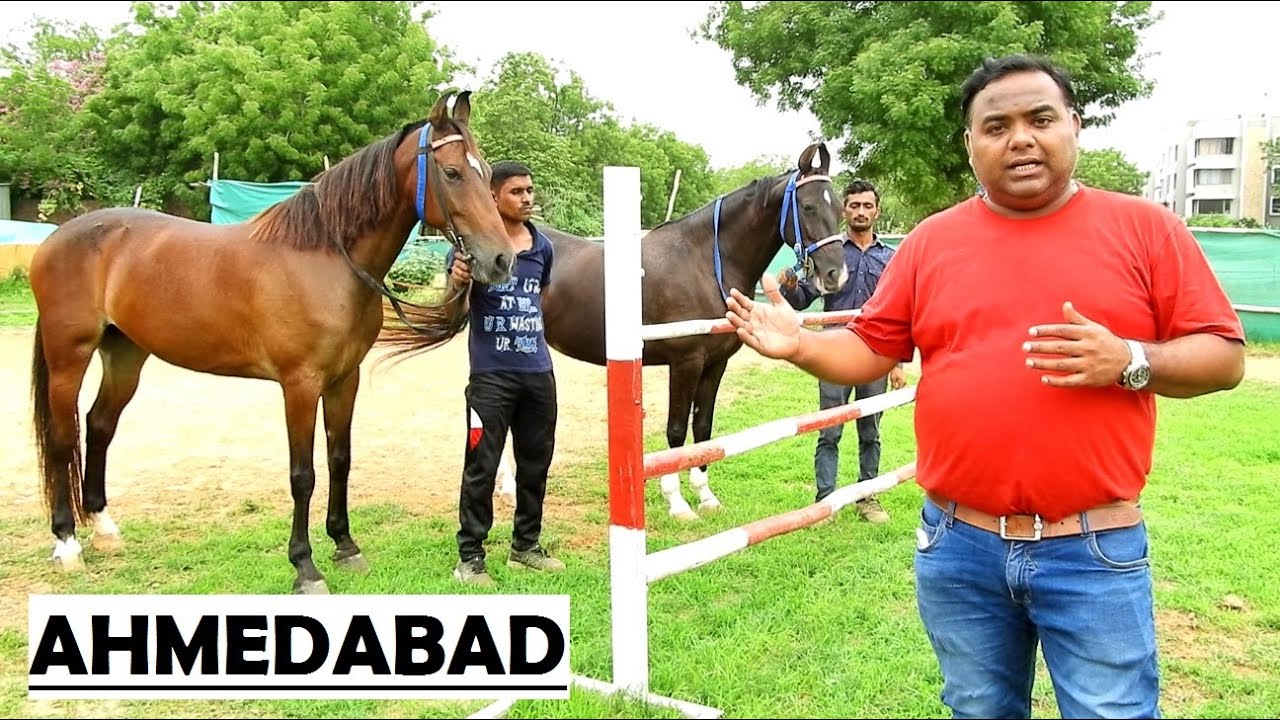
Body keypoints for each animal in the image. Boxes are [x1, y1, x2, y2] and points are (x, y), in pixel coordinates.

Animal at [27, 90, 515, 595]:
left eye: (484, 170)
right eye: (452, 173)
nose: (502, 259)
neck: (324, 257)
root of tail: (58, 238)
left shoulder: (344, 380)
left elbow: (339, 458)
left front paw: (345, 545)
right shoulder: (300, 385)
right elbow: (303, 474)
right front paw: (305, 566)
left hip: (125, 354)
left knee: (100, 425)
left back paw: (104, 528)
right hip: (69, 356)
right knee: (63, 437)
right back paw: (67, 543)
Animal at [510, 142, 848, 521]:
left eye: (839, 207)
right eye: (808, 206)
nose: (836, 275)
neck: (703, 262)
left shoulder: (716, 364)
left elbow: (702, 429)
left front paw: (706, 497)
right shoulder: (685, 362)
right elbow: (675, 432)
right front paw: (678, 504)